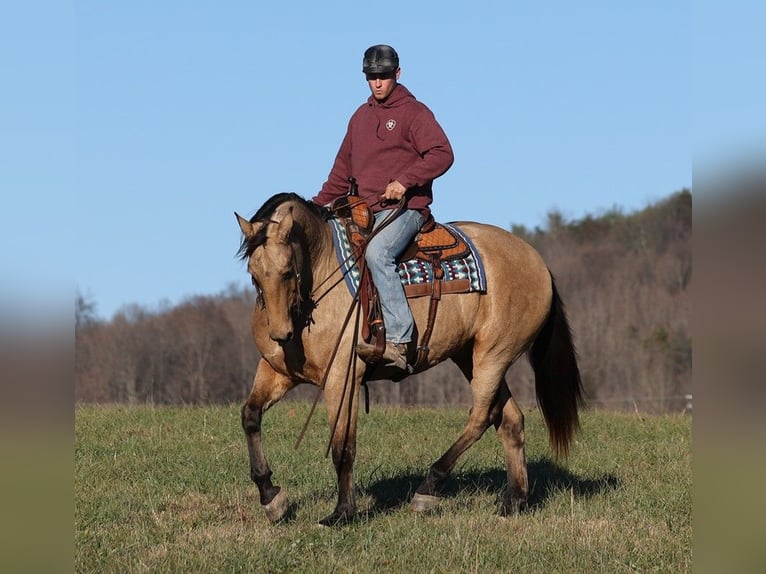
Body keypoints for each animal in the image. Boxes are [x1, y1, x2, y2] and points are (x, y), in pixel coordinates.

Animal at [237, 194, 584, 528]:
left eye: (287, 271)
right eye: (253, 275)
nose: (280, 334)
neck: (322, 274)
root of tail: (536, 261)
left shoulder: (342, 378)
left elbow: (343, 447)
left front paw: (342, 513)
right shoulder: (277, 371)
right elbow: (250, 416)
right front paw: (271, 498)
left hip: (494, 355)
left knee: (482, 417)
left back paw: (427, 489)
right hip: (469, 356)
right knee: (510, 420)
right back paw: (513, 502)